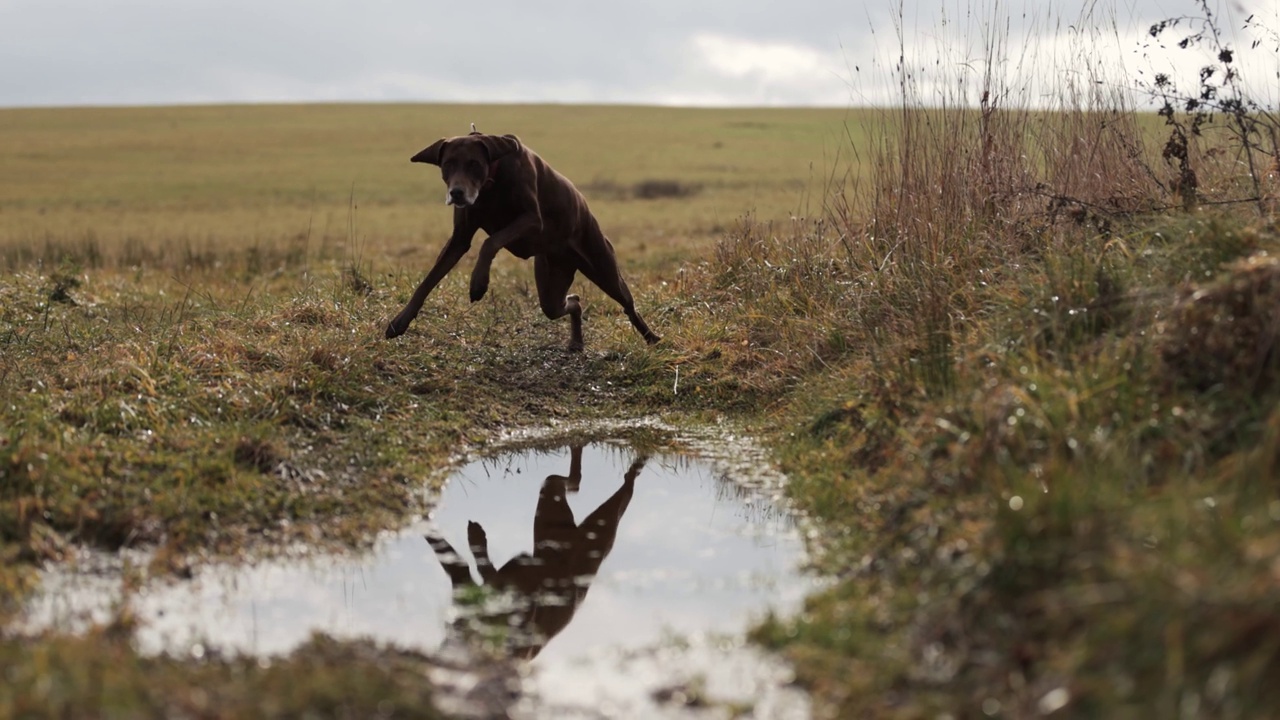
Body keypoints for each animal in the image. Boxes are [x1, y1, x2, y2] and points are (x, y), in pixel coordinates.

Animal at [381, 131, 660, 351]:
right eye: (447, 164)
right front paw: (400, 321)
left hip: (603, 266)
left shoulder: (532, 219)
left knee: (627, 304)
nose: (456, 193)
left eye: (474, 163)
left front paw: (478, 283)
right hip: (551, 281)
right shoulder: (459, 238)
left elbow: (490, 242)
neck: (491, 183)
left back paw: (651, 337)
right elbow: (429, 281)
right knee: (570, 303)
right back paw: (576, 341)